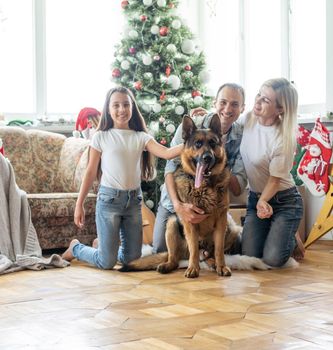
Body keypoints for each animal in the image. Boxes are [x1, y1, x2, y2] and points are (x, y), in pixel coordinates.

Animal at [122, 115, 236, 278]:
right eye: (197, 144)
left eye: (213, 143)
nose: (207, 158)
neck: (205, 187)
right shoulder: (190, 222)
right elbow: (194, 247)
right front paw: (193, 269)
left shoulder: (221, 221)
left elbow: (219, 249)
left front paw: (221, 266)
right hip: (171, 224)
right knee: (176, 258)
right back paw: (169, 265)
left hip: (232, 229)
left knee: (207, 255)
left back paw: (213, 263)